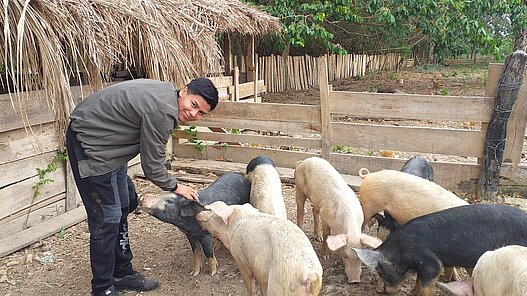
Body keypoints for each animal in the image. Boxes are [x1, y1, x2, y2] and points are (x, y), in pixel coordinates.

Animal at [294, 156, 382, 284]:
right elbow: (327, 235)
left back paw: (318, 238)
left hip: (316, 200)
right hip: (299, 189)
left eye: (360, 257)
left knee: (314, 210)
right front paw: (325, 257)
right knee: (300, 211)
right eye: (345, 255)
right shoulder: (325, 216)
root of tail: (304, 161)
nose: (355, 280)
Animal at [340, 204, 527, 296]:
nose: (385, 292)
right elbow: (418, 280)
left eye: (381, 271)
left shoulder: (431, 263)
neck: (402, 251)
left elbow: (427, 284)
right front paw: (411, 293)